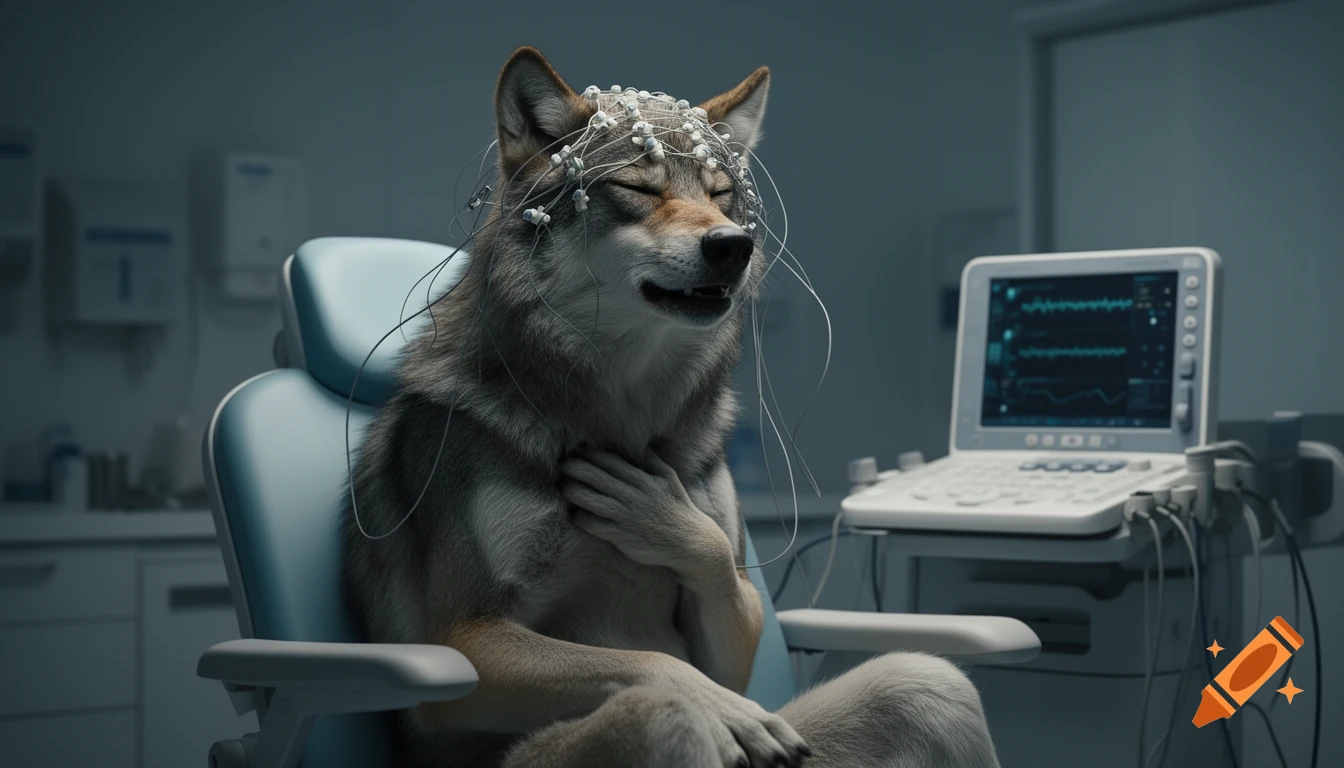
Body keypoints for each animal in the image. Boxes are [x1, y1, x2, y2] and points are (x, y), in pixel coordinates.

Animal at [342, 46, 1002, 768]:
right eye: (638, 189)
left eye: (720, 196)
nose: (733, 245)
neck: (620, 414)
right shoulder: (463, 642)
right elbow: (665, 669)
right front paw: (733, 715)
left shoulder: (733, 626)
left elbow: (709, 560)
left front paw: (664, 519)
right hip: (647, 726)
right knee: (672, 710)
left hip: (926, 682)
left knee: (929, 676)